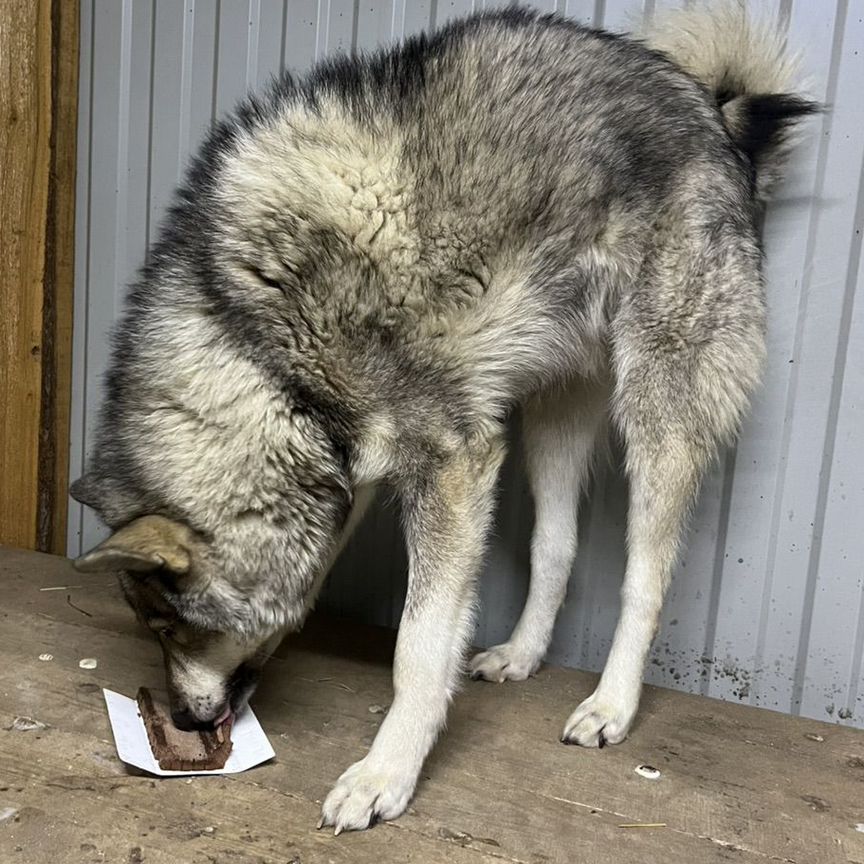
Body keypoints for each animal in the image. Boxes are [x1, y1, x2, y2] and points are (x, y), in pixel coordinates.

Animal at [71, 3, 812, 832]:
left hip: (656, 416)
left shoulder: (453, 467)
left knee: (643, 577)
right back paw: (521, 655)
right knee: (556, 544)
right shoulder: (353, 473)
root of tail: (714, 113)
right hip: (552, 419)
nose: (183, 722)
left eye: (167, 626)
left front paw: (385, 775)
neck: (258, 349)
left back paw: (611, 705)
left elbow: (418, 645)